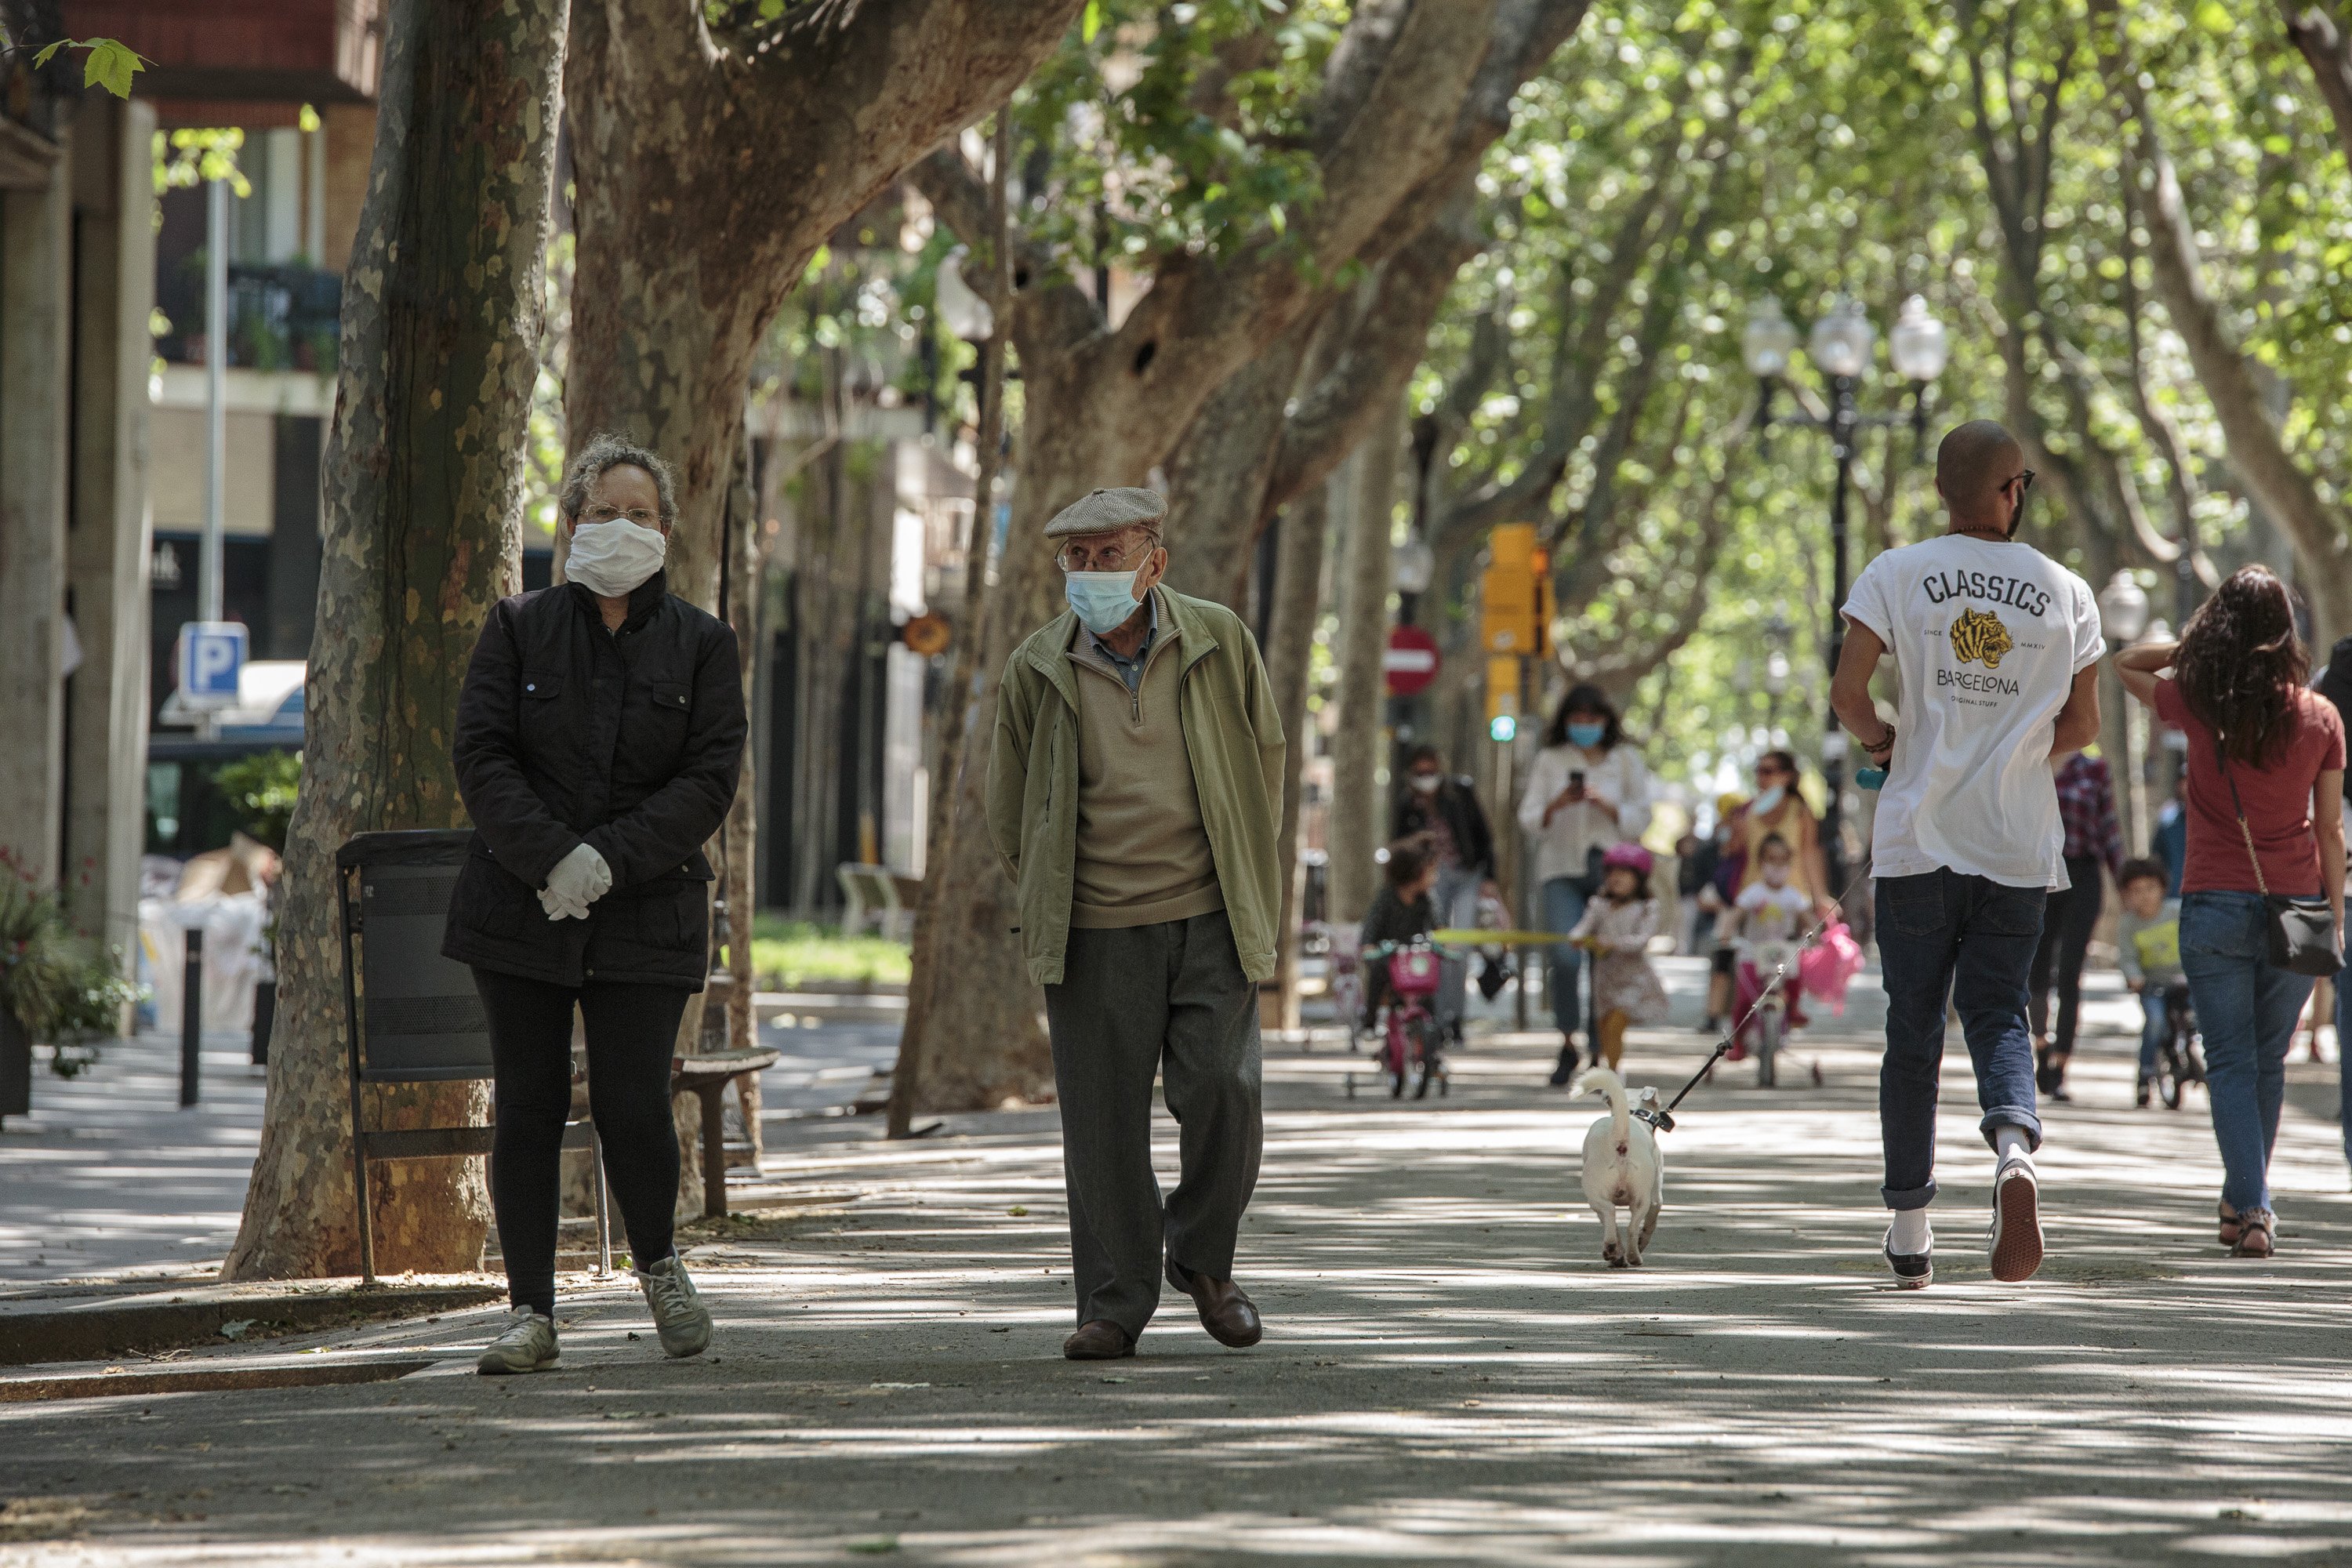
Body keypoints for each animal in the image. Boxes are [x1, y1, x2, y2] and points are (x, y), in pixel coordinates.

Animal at [1571, 1072, 1665, 1269]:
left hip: (1603, 1197)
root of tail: (1620, 1140)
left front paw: (1618, 1256)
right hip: (1638, 1199)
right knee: (1626, 1223)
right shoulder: (1656, 1199)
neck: (1632, 1114)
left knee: (1614, 1217)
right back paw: (1632, 1256)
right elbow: (1649, 1225)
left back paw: (1616, 1252)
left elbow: (1613, 1227)